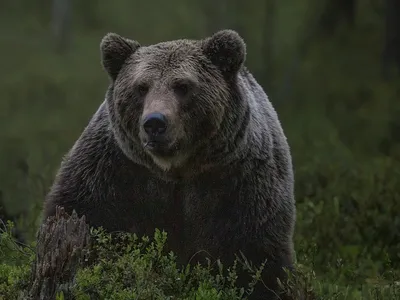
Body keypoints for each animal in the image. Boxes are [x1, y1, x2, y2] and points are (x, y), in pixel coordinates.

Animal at [42, 29, 296, 298]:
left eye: (182, 86)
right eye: (141, 87)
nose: (155, 122)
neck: (176, 169)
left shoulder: (240, 182)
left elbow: (255, 256)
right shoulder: (113, 172)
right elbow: (87, 216)